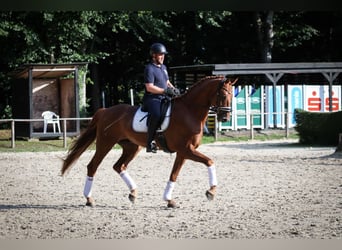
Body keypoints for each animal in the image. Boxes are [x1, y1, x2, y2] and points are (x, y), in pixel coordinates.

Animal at [61, 75, 236, 208]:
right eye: (222, 95)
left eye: (232, 96)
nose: (225, 117)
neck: (189, 111)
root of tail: (105, 111)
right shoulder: (186, 149)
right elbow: (209, 161)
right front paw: (211, 191)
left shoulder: (183, 152)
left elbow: (174, 175)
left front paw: (169, 200)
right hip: (105, 144)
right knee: (93, 166)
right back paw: (89, 199)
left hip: (132, 147)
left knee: (119, 166)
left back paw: (133, 193)